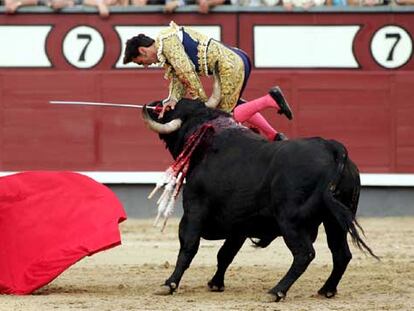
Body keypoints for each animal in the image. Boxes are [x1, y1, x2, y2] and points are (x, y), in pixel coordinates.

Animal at [142, 99, 378, 302]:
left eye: (172, 108)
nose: (155, 103)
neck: (206, 143)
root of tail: (332, 148)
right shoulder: (239, 224)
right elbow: (225, 254)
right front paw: (216, 283)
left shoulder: (194, 210)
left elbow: (189, 246)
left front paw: (170, 284)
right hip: (334, 220)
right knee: (341, 254)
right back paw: (326, 289)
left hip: (290, 221)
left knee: (305, 254)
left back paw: (276, 291)